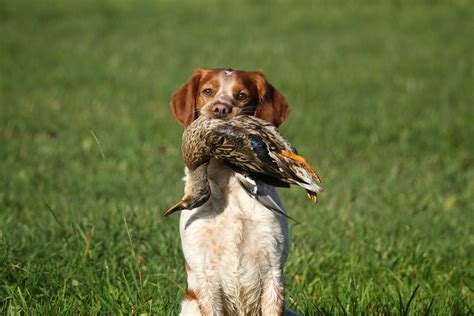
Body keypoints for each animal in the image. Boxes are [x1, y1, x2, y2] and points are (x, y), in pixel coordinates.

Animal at [168, 69, 298, 316]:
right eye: (207, 91)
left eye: (242, 95)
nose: (220, 109)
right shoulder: (204, 272)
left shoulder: (273, 268)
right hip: (191, 305)